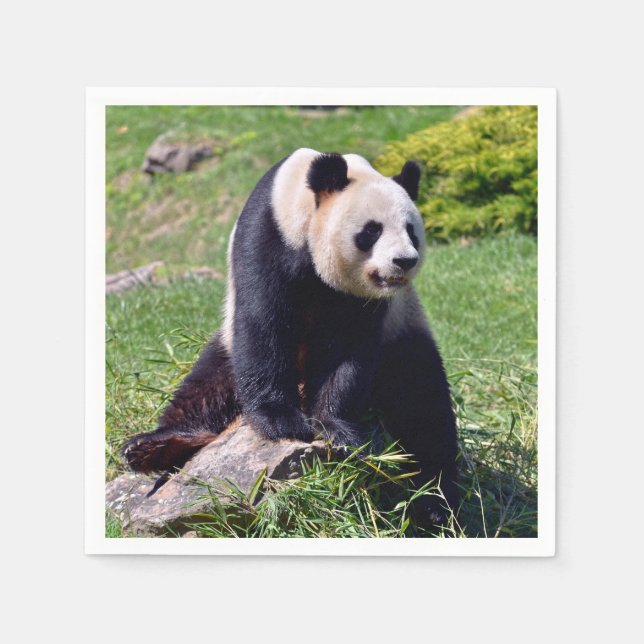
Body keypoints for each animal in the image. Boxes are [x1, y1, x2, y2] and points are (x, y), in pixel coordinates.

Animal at [123, 148, 459, 523]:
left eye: (412, 231)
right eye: (371, 231)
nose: (404, 261)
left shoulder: (366, 302)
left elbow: (347, 349)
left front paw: (336, 428)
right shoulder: (267, 236)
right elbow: (263, 323)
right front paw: (281, 422)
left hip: (402, 336)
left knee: (423, 407)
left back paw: (435, 501)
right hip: (225, 348)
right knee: (206, 387)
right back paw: (153, 448)